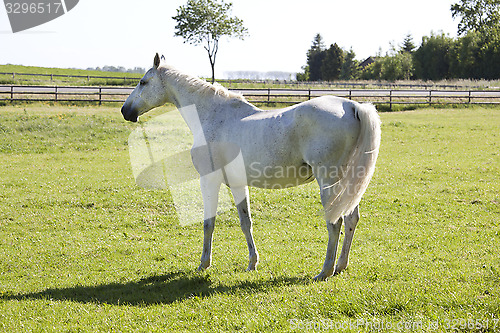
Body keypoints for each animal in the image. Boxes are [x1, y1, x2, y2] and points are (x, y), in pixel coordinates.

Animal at [121, 53, 378, 278]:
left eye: (143, 82)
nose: (125, 111)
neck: (212, 115)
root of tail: (352, 106)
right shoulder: (237, 184)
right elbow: (246, 223)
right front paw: (252, 263)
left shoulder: (209, 180)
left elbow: (208, 223)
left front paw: (204, 263)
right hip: (348, 184)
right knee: (351, 219)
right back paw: (341, 266)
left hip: (329, 183)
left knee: (335, 223)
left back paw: (325, 271)